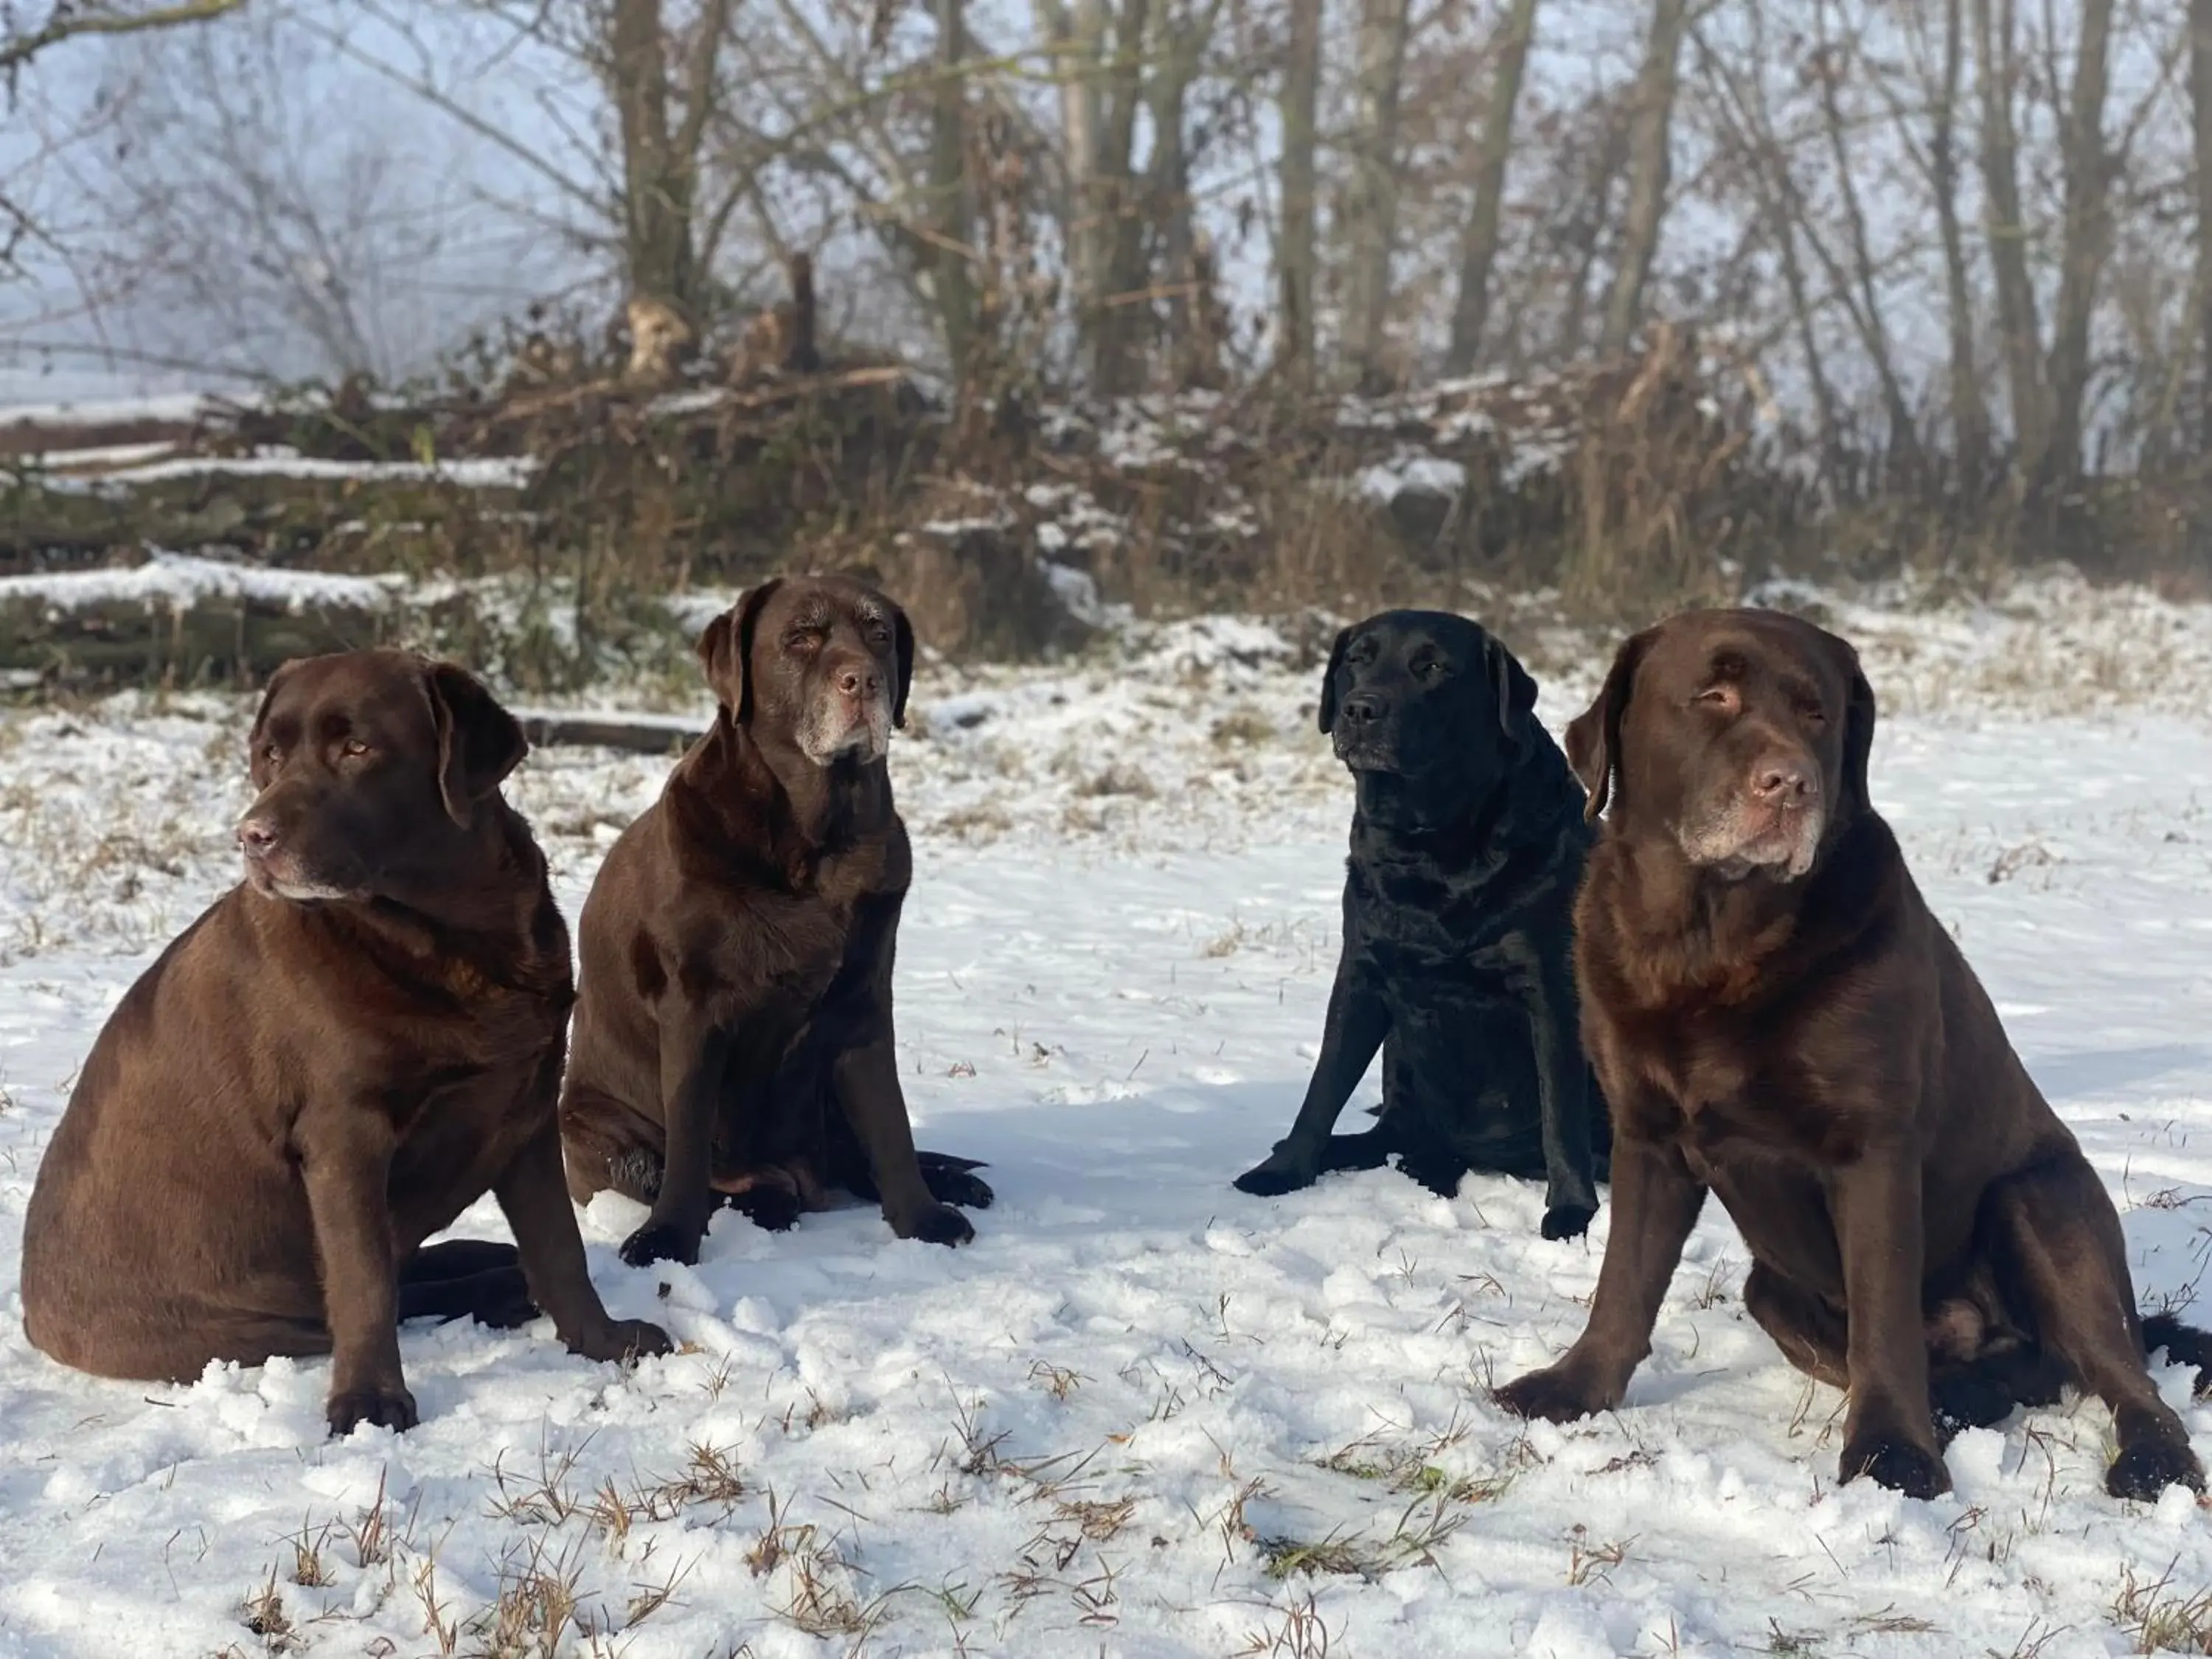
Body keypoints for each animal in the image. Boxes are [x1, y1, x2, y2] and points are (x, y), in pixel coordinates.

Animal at [1230, 606, 1610, 1239]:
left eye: (1432, 668)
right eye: (1357, 659)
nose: (1360, 708)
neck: (1433, 844)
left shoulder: (1551, 988)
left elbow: (1562, 1112)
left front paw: (1572, 1210)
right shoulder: (1360, 972)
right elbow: (1323, 1087)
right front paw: (1282, 1171)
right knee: (1389, 1135)